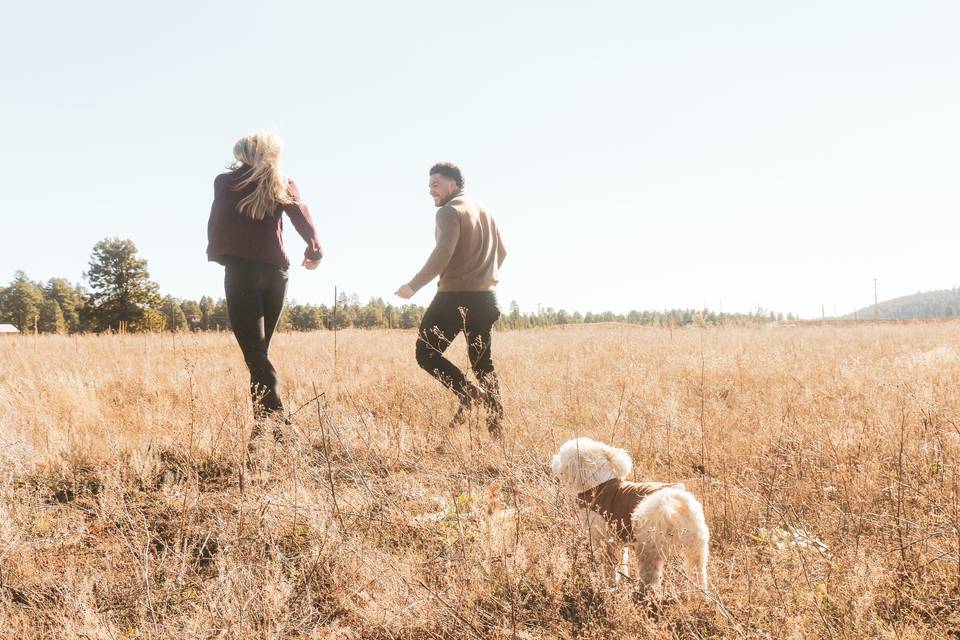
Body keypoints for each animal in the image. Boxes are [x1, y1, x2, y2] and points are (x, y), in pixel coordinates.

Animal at [552, 436, 708, 596]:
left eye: (562, 455)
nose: (554, 459)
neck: (599, 486)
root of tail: (674, 504)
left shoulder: (604, 540)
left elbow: (609, 567)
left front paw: (609, 585)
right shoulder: (619, 541)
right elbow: (622, 562)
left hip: (650, 551)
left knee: (651, 580)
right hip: (697, 549)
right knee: (698, 575)